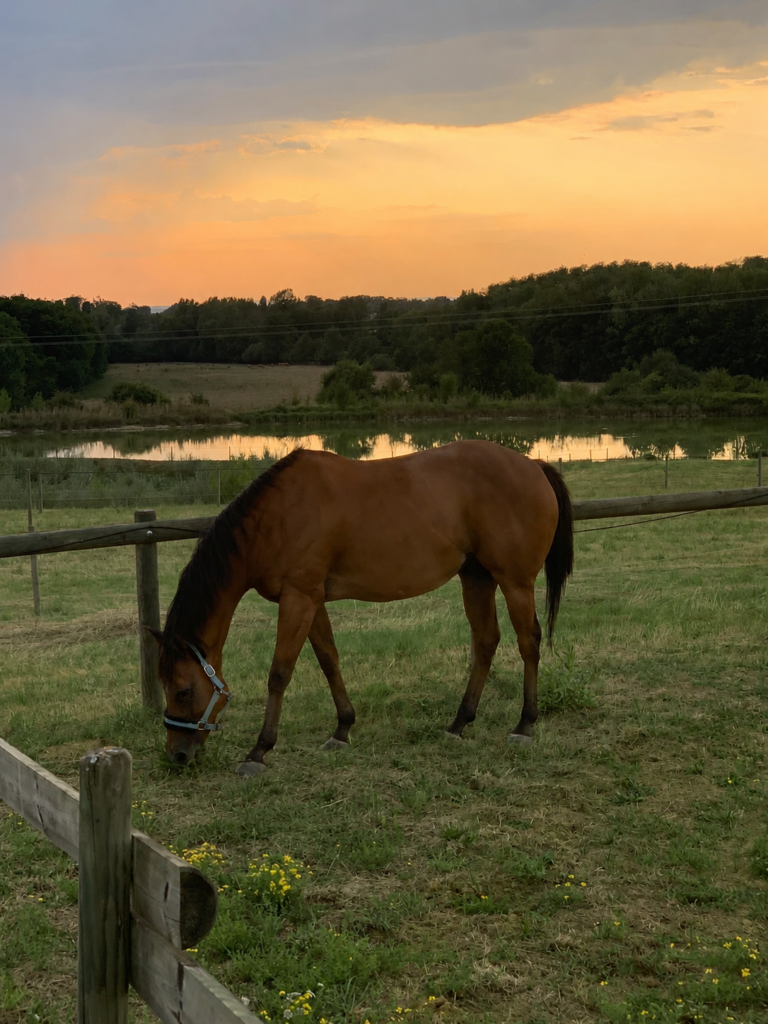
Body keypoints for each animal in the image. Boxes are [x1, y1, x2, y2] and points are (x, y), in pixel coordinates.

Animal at [151, 440, 573, 776]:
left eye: (184, 691)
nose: (178, 755)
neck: (277, 517)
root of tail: (533, 465)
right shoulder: (311, 600)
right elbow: (328, 661)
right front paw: (342, 729)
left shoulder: (298, 599)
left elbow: (279, 674)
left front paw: (259, 750)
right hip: (477, 577)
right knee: (486, 641)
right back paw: (459, 722)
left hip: (515, 582)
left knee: (528, 642)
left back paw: (524, 725)